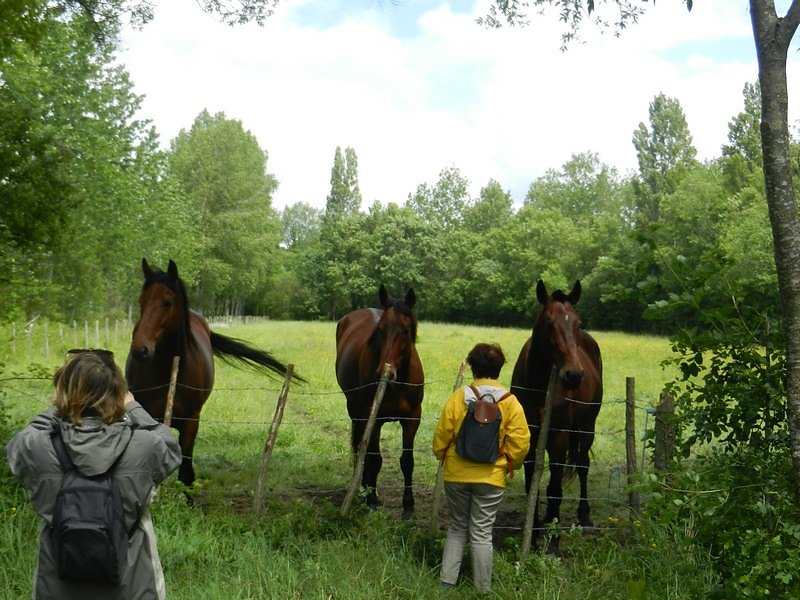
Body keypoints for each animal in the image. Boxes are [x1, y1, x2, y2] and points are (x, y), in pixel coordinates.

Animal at [125, 258, 302, 487]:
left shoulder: (191, 423)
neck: (170, 371)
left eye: (167, 302)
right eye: (142, 301)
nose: (140, 349)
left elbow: (186, 474)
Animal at [335, 285, 424, 518]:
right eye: (380, 329)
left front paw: (408, 506)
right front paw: (372, 500)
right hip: (355, 410)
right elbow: (375, 459)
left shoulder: (412, 419)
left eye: (406, 330)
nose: (386, 373)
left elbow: (407, 461)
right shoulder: (373, 418)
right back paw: (364, 488)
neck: (397, 384)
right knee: (361, 447)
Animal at [511, 280, 603, 555]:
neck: (540, 387)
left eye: (577, 323)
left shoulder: (559, 438)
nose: (573, 375)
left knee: (583, 465)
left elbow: (554, 489)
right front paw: (534, 533)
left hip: (587, 425)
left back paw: (585, 517)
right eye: (549, 322)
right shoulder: (529, 436)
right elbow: (531, 485)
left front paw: (552, 543)